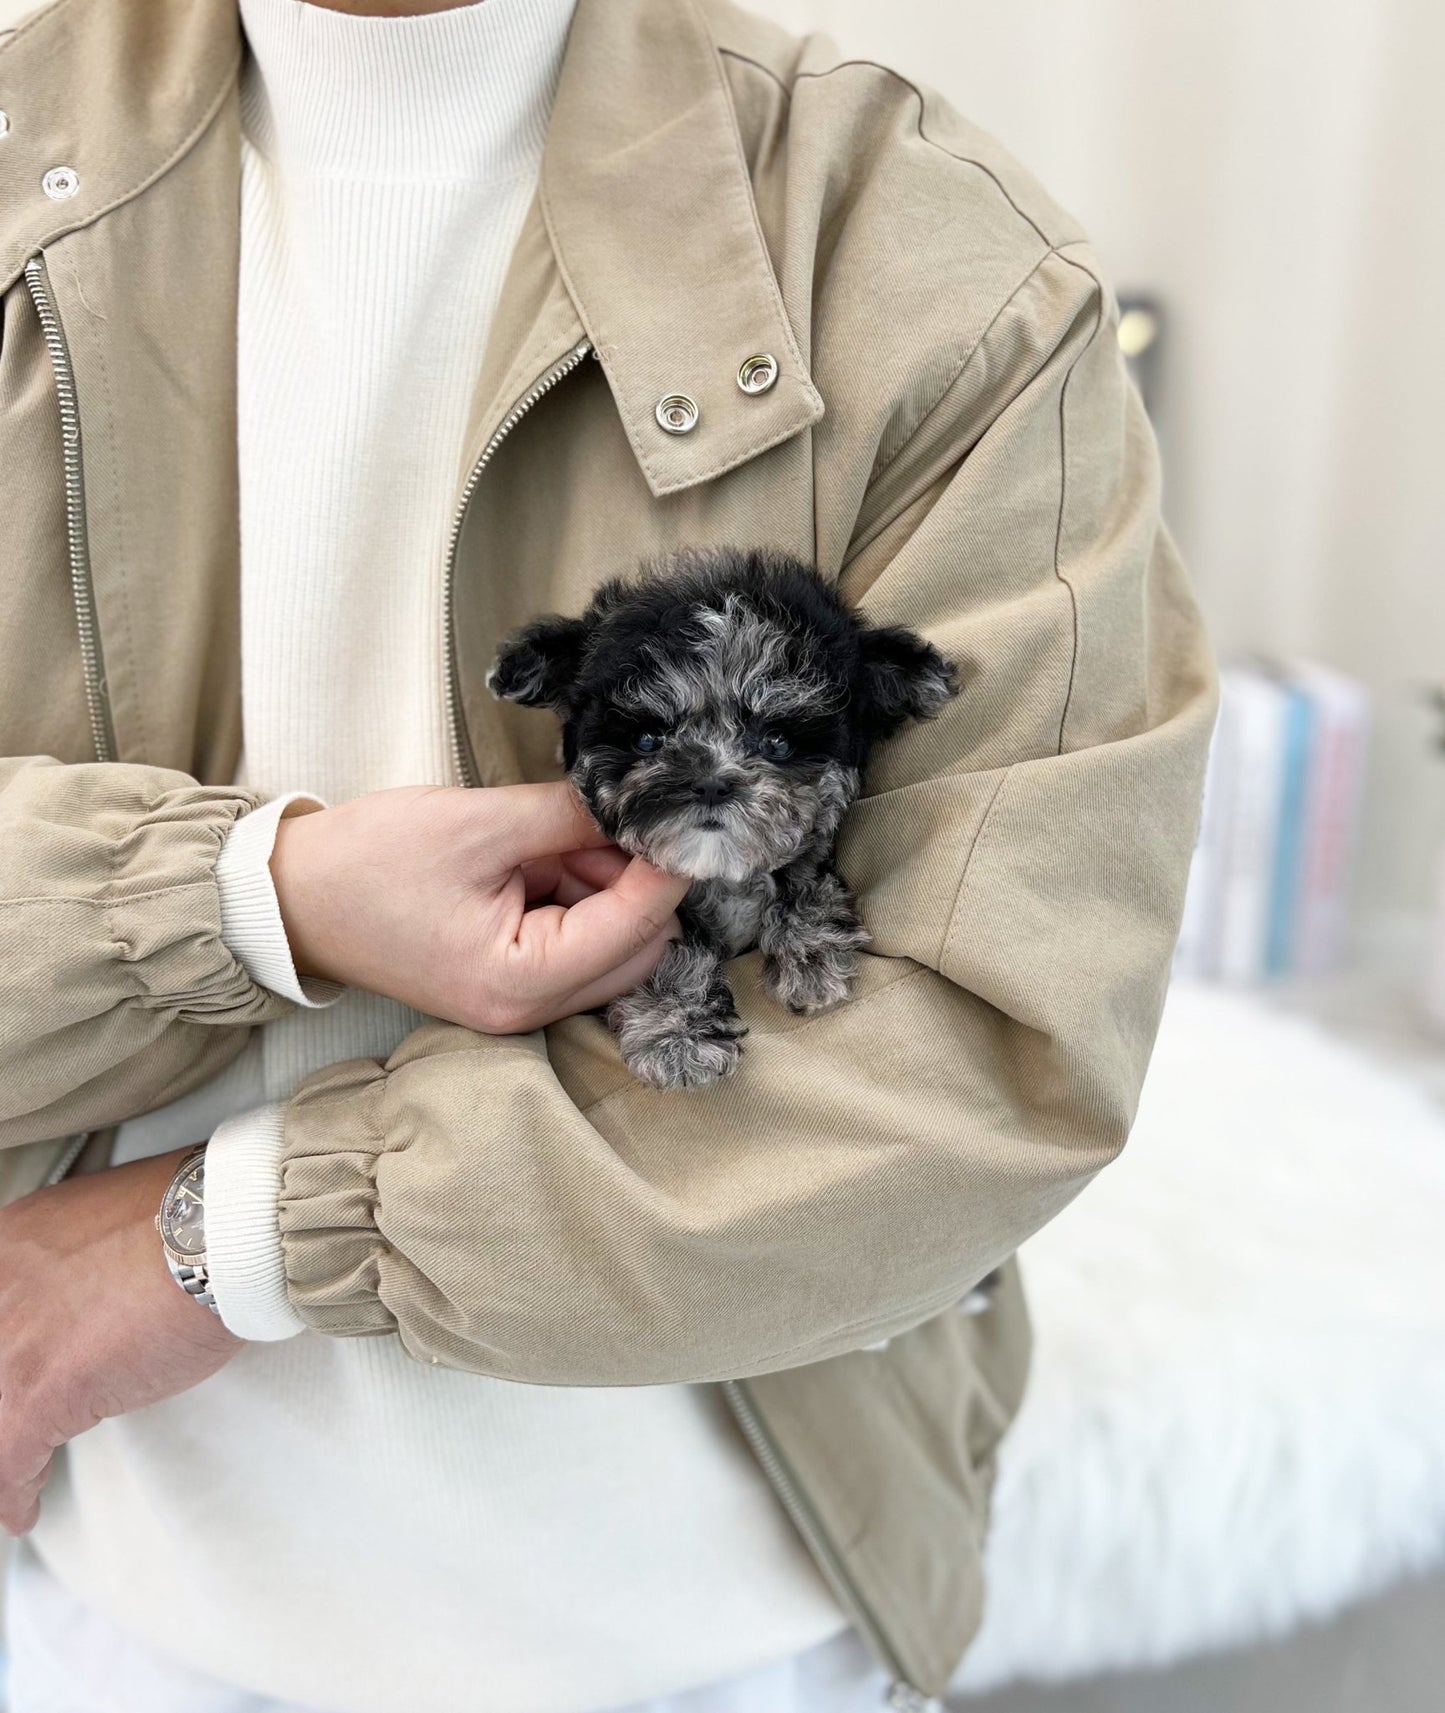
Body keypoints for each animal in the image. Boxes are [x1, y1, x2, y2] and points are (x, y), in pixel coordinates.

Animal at [489, 541, 958, 1089]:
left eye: (777, 742)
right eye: (648, 740)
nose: (712, 782)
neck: (721, 877)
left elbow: (805, 870)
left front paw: (811, 947)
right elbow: (661, 952)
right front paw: (676, 1032)